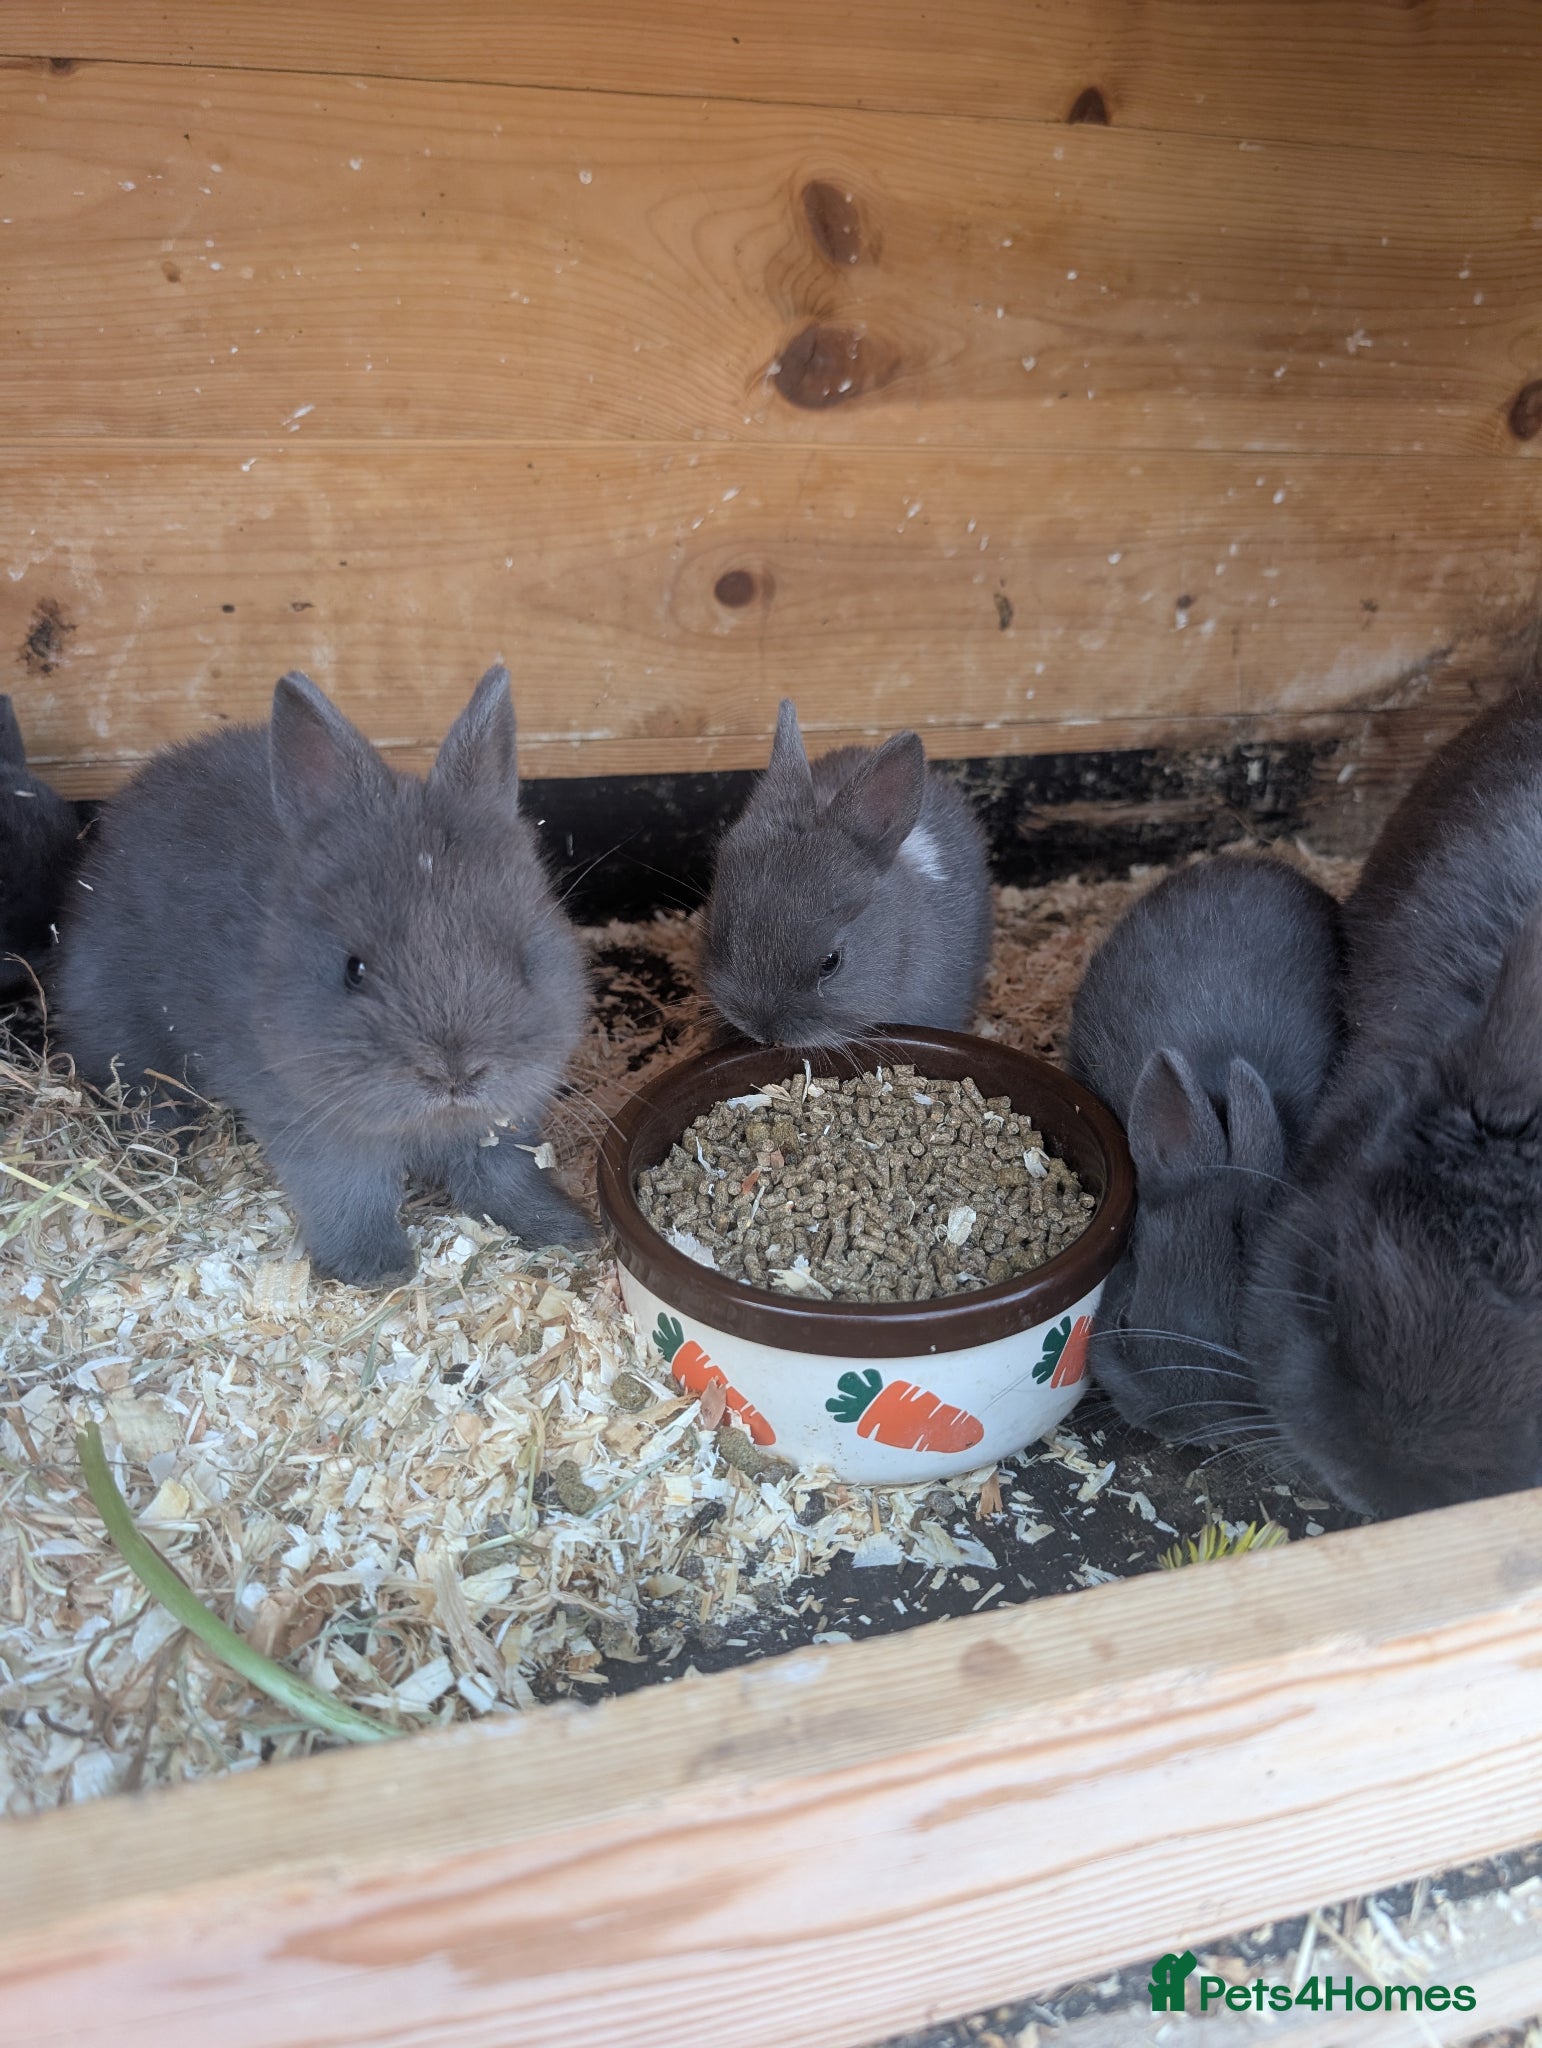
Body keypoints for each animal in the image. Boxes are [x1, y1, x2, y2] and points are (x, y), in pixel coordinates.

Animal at [55, 664, 595, 1287]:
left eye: (522, 960)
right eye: (353, 970)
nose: (456, 1073)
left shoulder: (502, 1128)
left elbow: (505, 1181)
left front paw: (564, 1231)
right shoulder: (318, 1131)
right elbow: (348, 1197)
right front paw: (376, 1269)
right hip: (123, 1034)